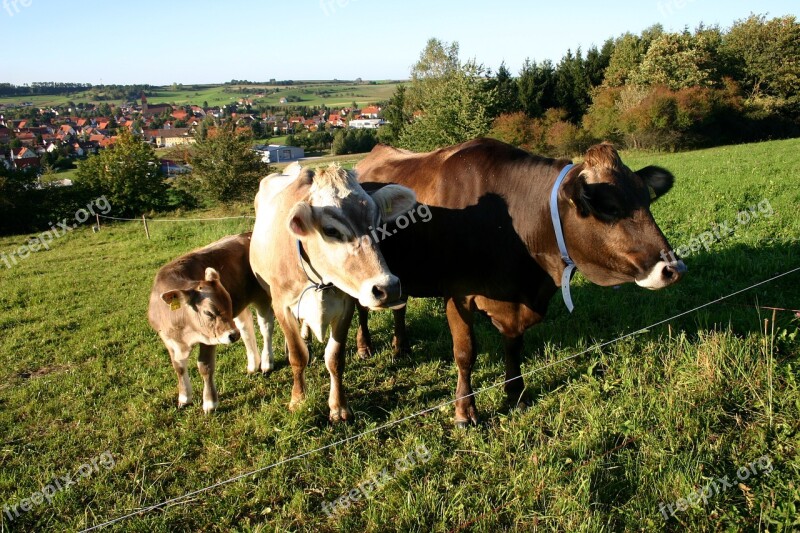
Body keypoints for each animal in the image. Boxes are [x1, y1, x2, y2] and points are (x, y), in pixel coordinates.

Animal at [148, 232, 274, 412]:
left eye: (228, 305)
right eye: (208, 312)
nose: (232, 336)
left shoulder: (209, 338)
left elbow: (205, 366)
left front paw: (210, 403)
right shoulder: (167, 339)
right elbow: (178, 367)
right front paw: (184, 398)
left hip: (262, 296)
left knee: (266, 327)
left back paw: (266, 363)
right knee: (246, 329)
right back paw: (253, 365)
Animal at [248, 162, 412, 420]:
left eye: (377, 223)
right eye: (330, 230)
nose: (388, 287)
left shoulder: (345, 306)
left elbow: (335, 358)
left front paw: (339, 406)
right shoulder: (282, 305)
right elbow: (297, 356)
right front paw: (298, 400)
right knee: (272, 329)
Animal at [358, 139, 688, 426]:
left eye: (646, 199)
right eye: (608, 207)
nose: (673, 268)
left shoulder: (516, 300)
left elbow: (514, 347)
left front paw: (516, 395)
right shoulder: (458, 293)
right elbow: (465, 353)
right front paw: (464, 411)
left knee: (399, 307)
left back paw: (401, 347)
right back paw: (365, 347)